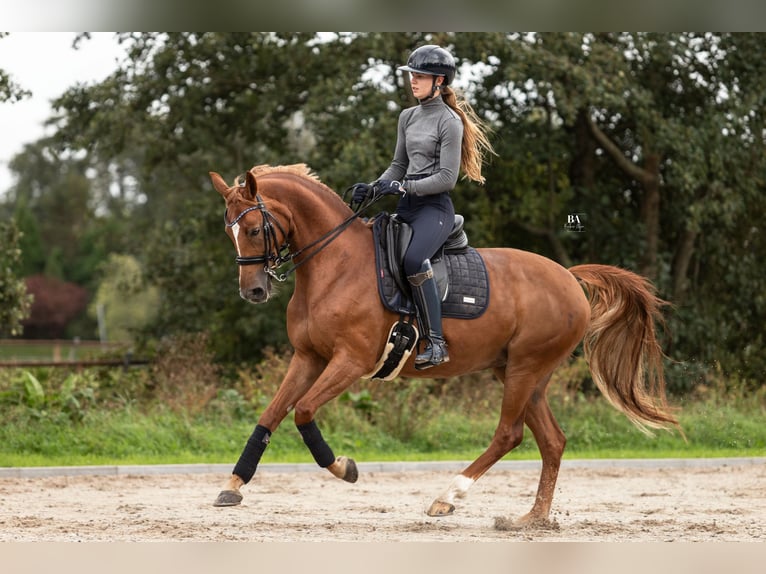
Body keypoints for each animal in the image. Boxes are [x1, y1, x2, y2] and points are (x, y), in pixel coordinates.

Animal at [207, 164, 680, 528]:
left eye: (254, 229)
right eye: (229, 232)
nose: (253, 291)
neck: (333, 265)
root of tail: (568, 276)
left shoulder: (350, 361)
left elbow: (303, 411)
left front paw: (344, 468)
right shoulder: (308, 358)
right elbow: (270, 415)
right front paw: (232, 486)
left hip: (526, 367)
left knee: (509, 434)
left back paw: (448, 497)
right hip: (521, 373)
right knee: (552, 441)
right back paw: (532, 519)